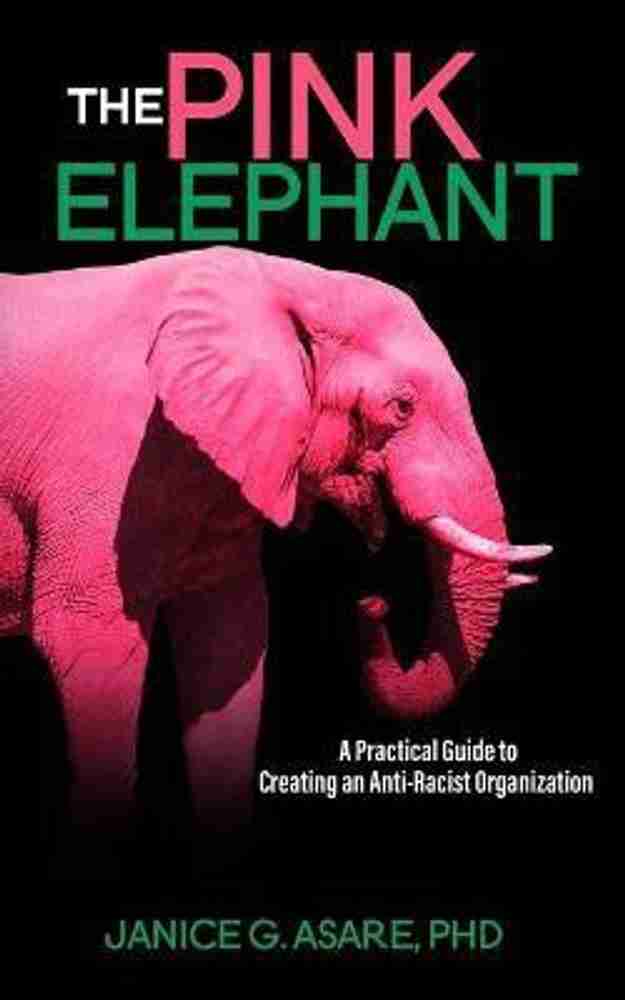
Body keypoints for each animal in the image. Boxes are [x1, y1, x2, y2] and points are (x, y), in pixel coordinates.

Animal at [0, 247, 550, 847]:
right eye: (401, 408)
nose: (371, 601)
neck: (281, 283)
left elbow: (229, 640)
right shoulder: (112, 460)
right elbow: (89, 637)